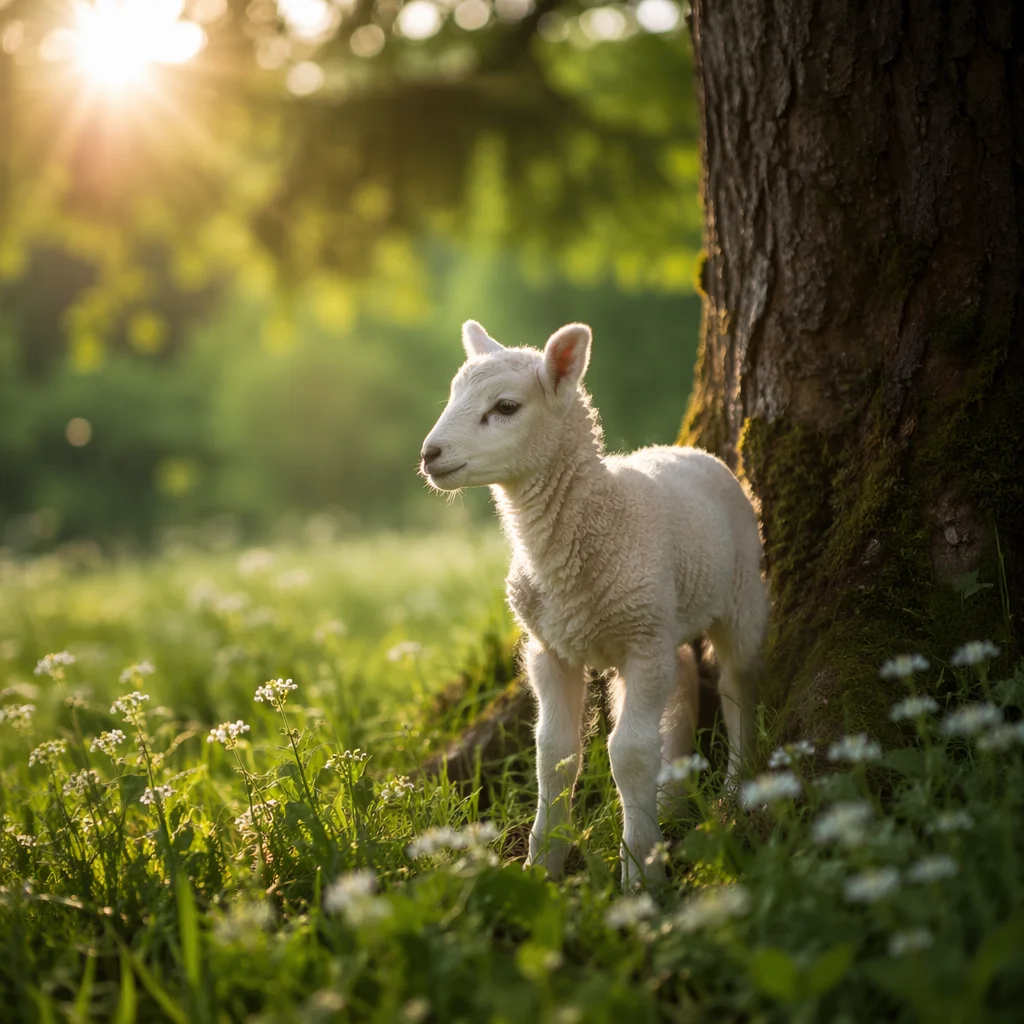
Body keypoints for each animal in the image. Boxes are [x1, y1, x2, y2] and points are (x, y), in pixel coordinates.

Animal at [420, 320, 769, 887]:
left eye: (506, 407)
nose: (430, 454)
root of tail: (691, 450)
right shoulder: (550, 649)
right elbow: (554, 754)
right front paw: (543, 864)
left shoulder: (640, 644)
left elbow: (628, 754)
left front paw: (641, 872)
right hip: (661, 617)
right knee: (682, 684)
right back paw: (670, 802)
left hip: (738, 597)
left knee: (737, 687)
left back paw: (736, 788)